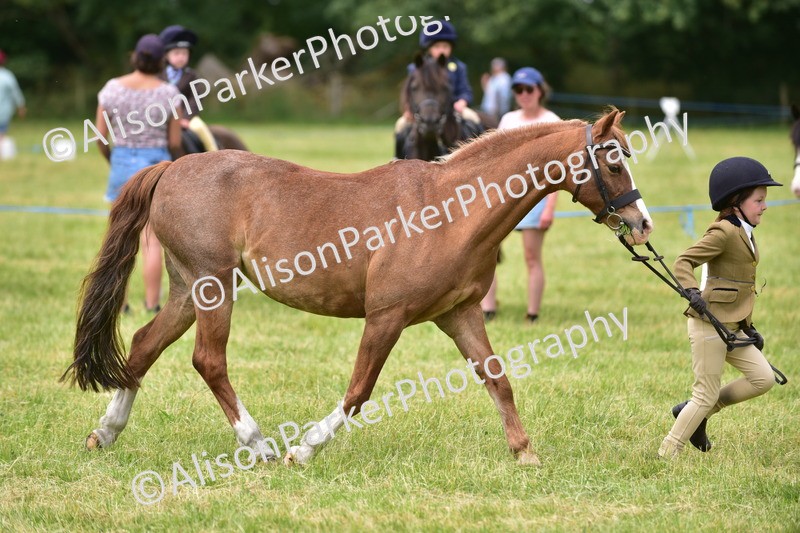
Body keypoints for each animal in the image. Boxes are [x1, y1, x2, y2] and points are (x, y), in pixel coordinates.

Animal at [62, 108, 652, 467]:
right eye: (613, 161)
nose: (642, 223)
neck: (452, 211)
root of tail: (171, 167)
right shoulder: (387, 317)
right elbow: (359, 391)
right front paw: (305, 449)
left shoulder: (460, 314)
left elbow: (497, 379)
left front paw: (524, 452)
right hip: (213, 288)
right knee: (208, 361)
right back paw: (259, 445)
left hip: (188, 290)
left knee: (144, 346)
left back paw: (105, 433)